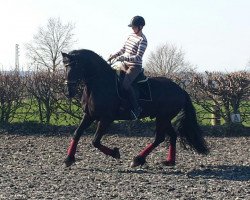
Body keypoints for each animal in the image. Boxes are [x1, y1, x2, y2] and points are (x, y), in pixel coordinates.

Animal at [61, 49, 208, 168]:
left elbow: (95, 141)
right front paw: (69, 159)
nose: (68, 92)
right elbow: (77, 133)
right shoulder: (89, 115)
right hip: (164, 118)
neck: (99, 83)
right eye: (65, 66)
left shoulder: (106, 118)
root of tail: (180, 90)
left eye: (75, 66)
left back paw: (138, 159)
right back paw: (169, 161)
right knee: (172, 135)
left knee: (159, 138)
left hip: (163, 117)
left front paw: (115, 153)